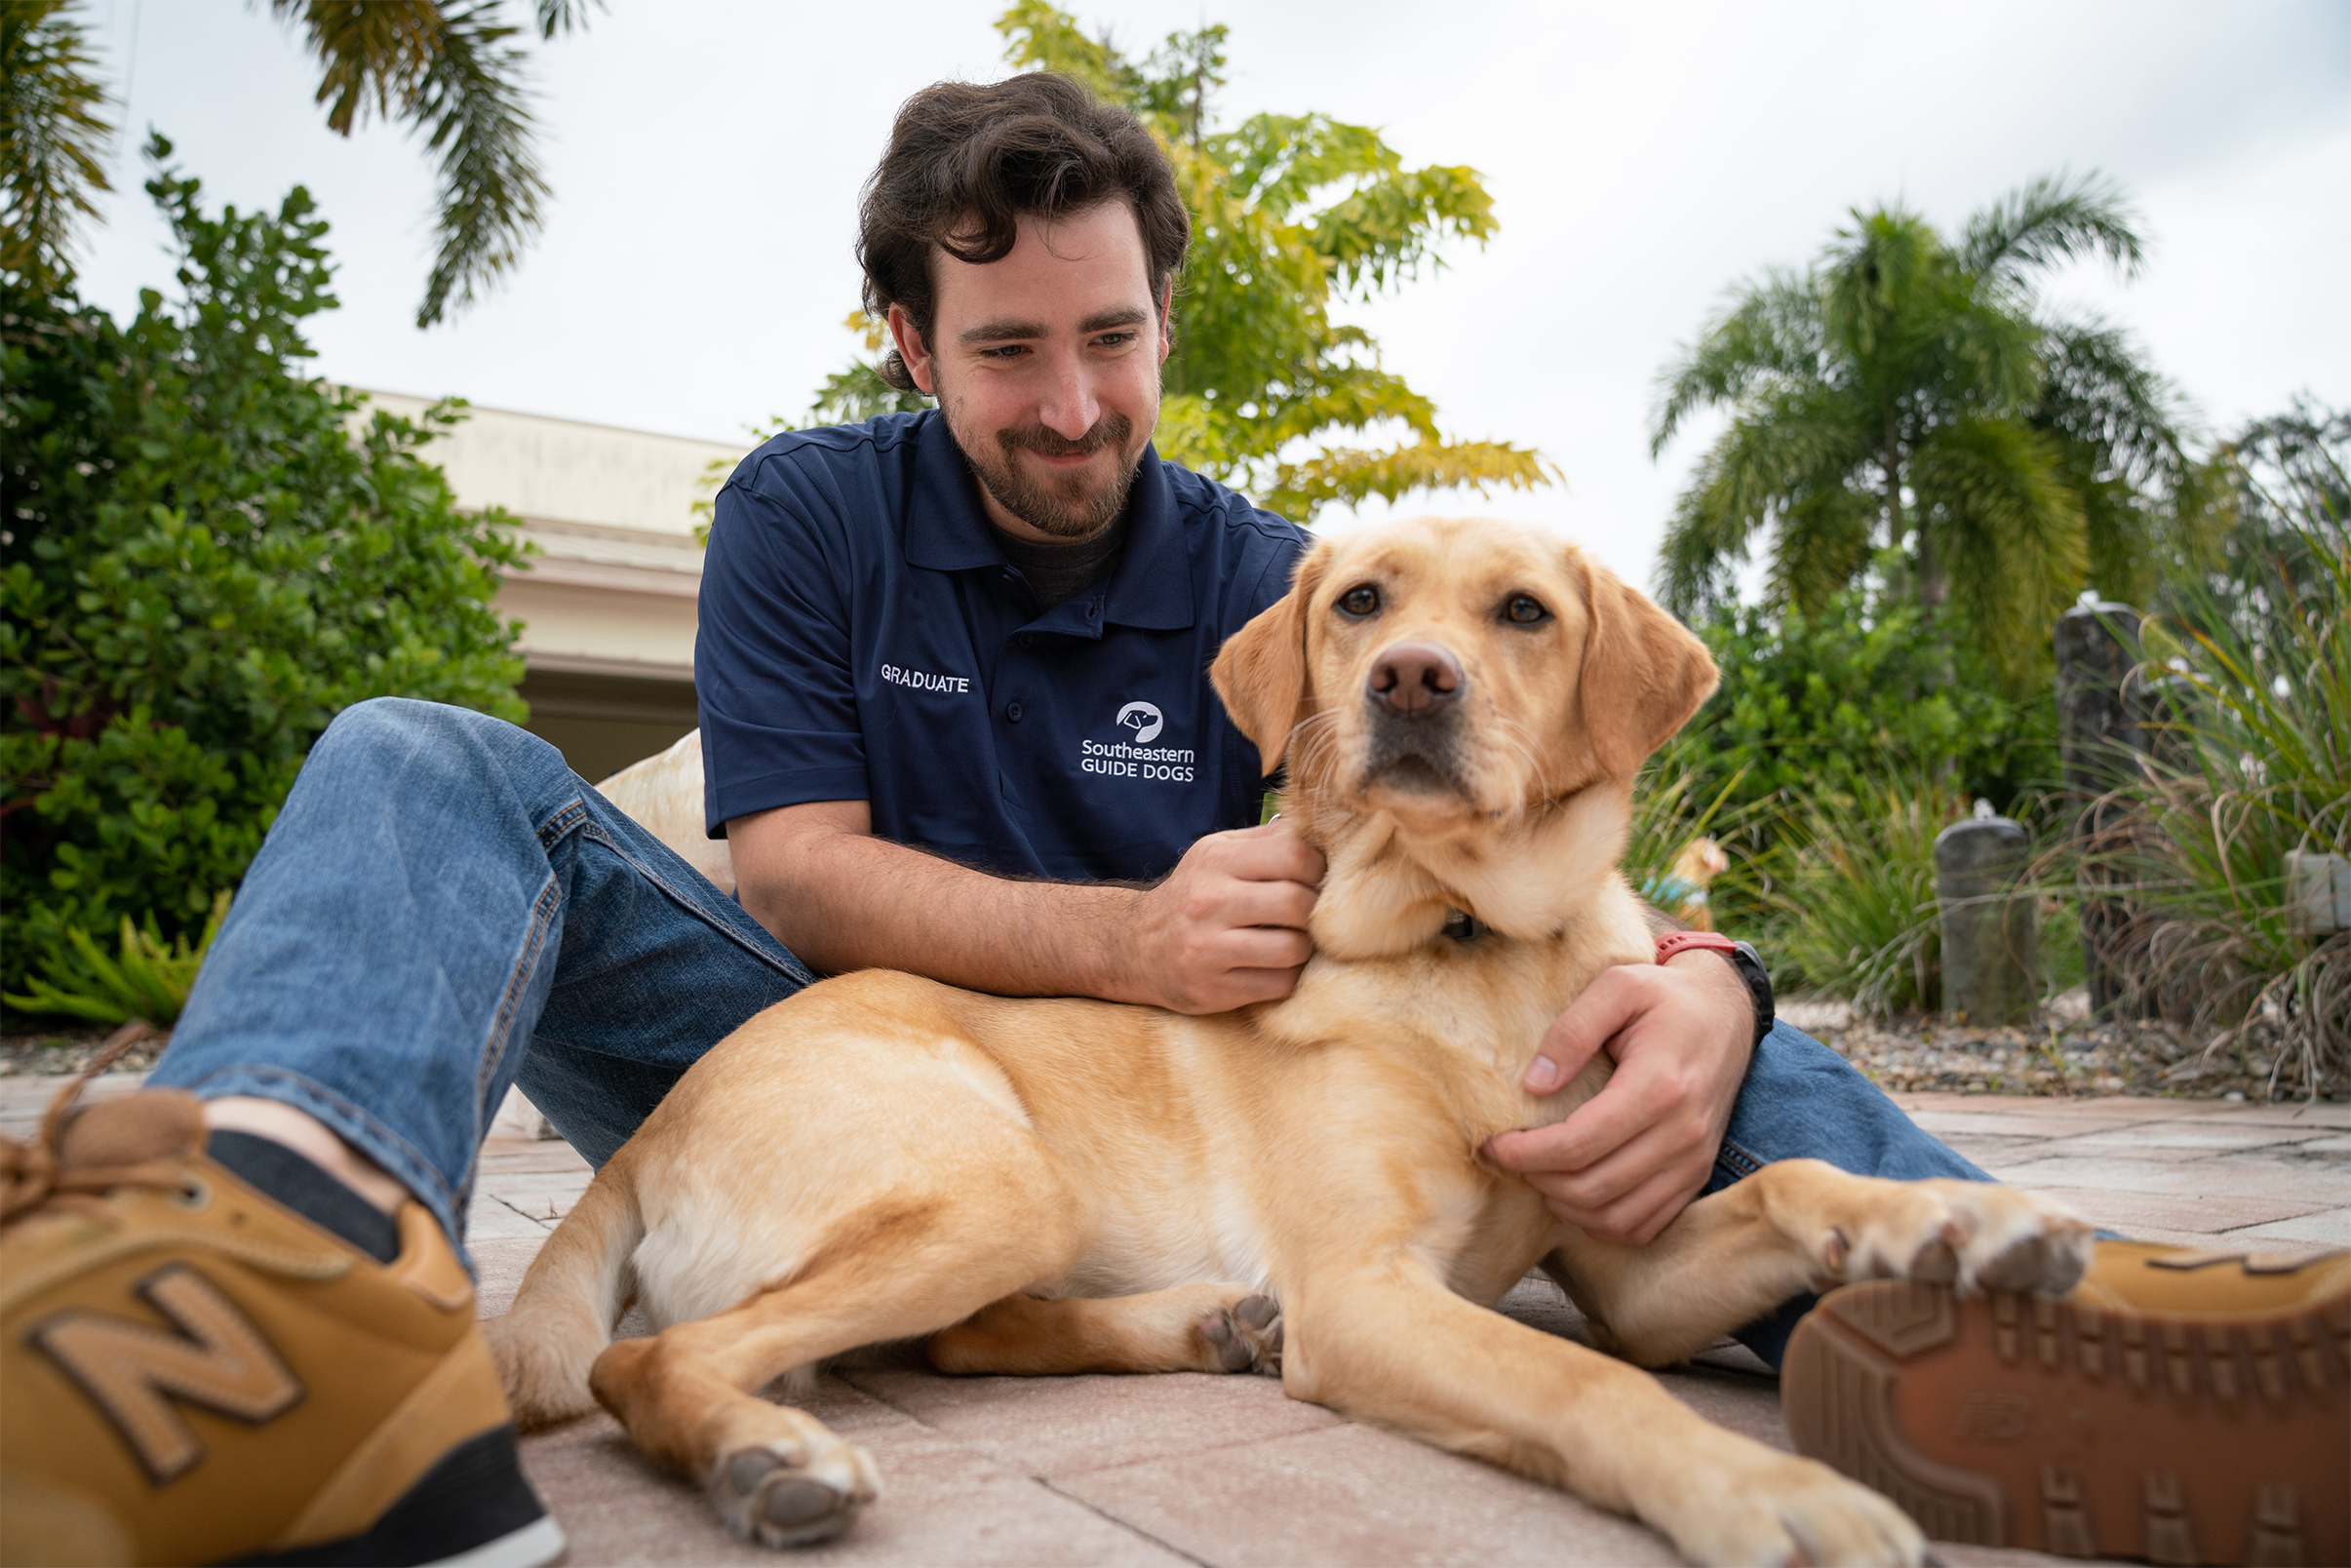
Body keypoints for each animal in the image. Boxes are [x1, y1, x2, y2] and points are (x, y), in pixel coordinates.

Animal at [482, 517, 2096, 1568]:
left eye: (1523, 612)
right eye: (1360, 601)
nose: (1410, 680)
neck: (1467, 941)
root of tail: (650, 1135)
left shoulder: (1632, 1265)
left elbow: (1782, 1190)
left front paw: (1955, 1223)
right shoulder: (1369, 1295)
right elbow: (1589, 1382)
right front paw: (1756, 1492)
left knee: (957, 1336)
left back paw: (1199, 1324)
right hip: (991, 1176)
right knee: (662, 1361)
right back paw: (769, 1454)